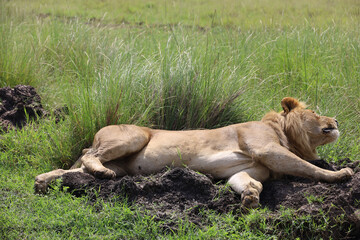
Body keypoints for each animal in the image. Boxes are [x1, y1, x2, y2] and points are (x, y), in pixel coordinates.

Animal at [34, 97, 354, 208]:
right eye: (315, 112)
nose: (338, 121)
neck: (282, 131)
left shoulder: (252, 167)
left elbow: (246, 182)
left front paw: (250, 197)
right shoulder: (266, 147)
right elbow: (307, 166)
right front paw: (340, 174)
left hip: (120, 161)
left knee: (74, 169)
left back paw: (42, 181)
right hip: (133, 136)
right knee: (90, 154)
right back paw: (100, 172)